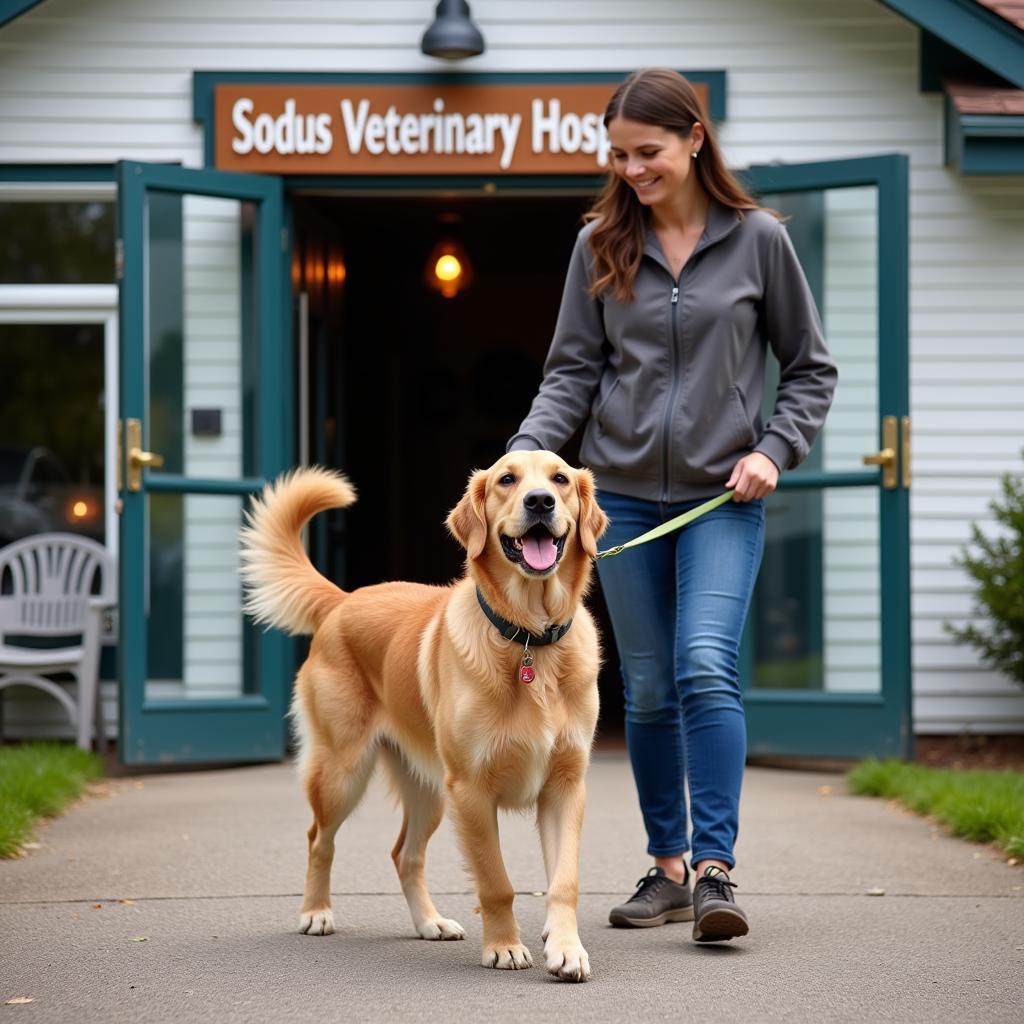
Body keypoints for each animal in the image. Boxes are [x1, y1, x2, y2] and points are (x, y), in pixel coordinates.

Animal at [239, 452, 606, 978]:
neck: (529, 639)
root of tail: (345, 599)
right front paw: (504, 947)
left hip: (428, 789)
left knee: (404, 855)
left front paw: (566, 948)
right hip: (343, 772)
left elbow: (564, 880)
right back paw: (316, 911)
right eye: (507, 480)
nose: (540, 501)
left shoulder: (565, 786)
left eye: (559, 479)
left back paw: (430, 922)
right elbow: (496, 883)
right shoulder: (471, 791)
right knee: (318, 839)